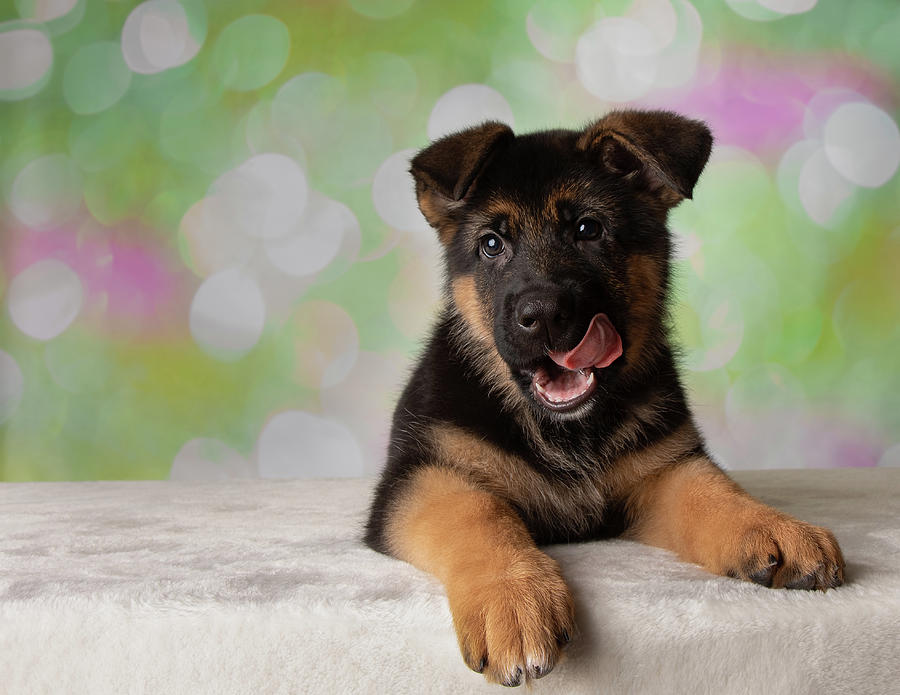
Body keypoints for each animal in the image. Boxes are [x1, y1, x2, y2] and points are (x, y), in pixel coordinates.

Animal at [362, 111, 848, 688]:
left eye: (588, 230)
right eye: (491, 245)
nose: (542, 316)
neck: (567, 430)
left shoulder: (662, 468)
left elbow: (712, 492)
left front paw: (776, 525)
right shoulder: (423, 476)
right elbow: (477, 513)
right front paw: (513, 599)